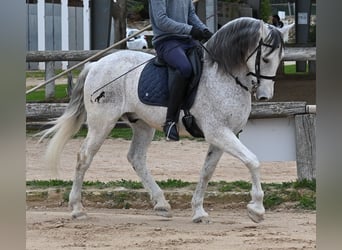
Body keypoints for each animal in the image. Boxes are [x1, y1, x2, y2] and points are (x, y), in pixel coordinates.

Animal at [39, 18, 292, 224]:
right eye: (265, 58)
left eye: (280, 58)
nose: (265, 96)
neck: (224, 76)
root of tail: (95, 64)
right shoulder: (218, 132)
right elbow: (253, 161)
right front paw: (257, 209)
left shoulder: (224, 135)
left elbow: (207, 171)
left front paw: (199, 212)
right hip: (102, 123)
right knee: (84, 157)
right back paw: (77, 209)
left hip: (142, 125)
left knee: (136, 158)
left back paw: (161, 205)